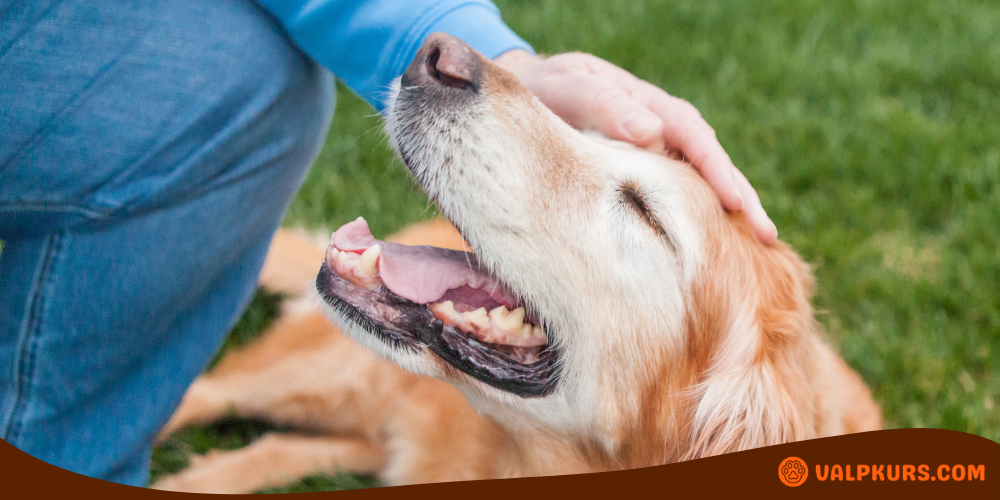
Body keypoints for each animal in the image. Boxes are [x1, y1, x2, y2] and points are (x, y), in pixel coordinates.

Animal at [152, 33, 880, 494]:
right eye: (594, 133)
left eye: (645, 211)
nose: (435, 55)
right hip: (326, 374)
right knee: (196, 393)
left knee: (278, 446)